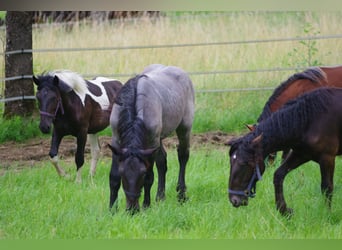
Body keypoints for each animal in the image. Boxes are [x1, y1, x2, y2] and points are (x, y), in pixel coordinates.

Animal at [109, 63, 195, 212]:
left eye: (142, 174)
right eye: (122, 173)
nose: (132, 210)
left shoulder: (151, 143)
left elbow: (150, 177)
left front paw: (146, 205)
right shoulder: (116, 141)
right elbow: (113, 178)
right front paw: (112, 209)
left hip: (184, 128)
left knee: (183, 155)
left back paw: (181, 194)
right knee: (162, 162)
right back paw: (160, 197)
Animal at [227, 87, 342, 216]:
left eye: (245, 164)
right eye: (231, 162)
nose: (234, 200)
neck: (310, 120)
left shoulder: (327, 158)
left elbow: (327, 187)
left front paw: (327, 214)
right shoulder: (301, 154)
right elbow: (279, 175)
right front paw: (284, 210)